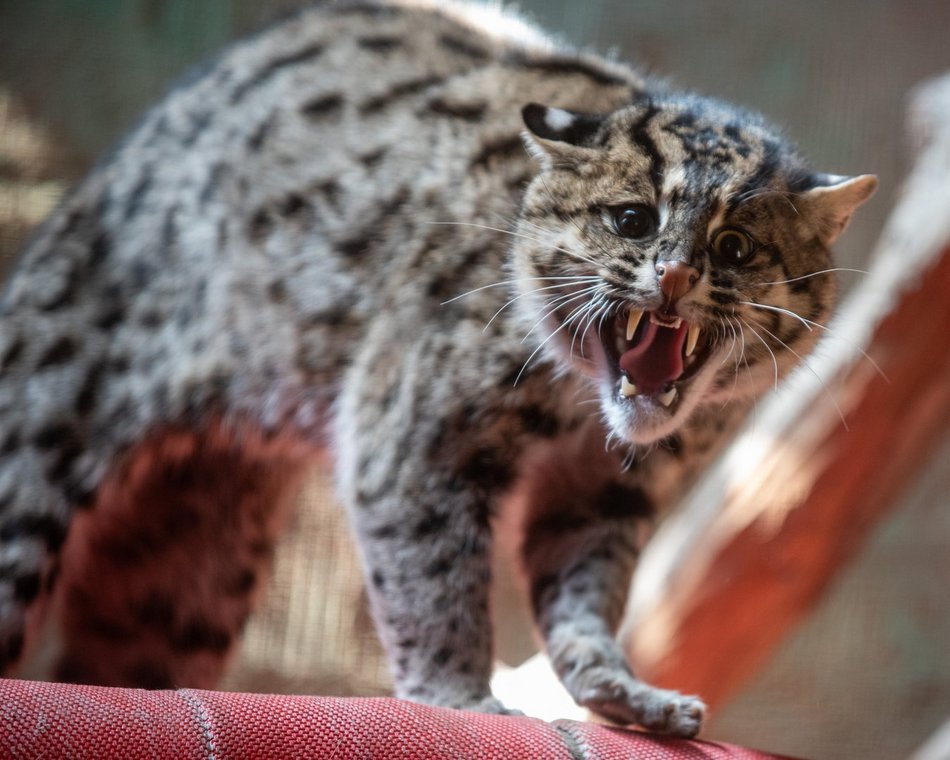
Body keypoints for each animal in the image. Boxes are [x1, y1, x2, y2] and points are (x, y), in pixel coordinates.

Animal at [0, 0, 876, 736]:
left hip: (188, 571)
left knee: (120, 672)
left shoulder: (607, 492)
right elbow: (434, 576)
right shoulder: (409, 437)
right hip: (36, 454)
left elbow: (588, 592)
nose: (674, 277)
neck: (581, 404)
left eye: (735, 247)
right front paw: (461, 699)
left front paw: (615, 688)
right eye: (632, 219)